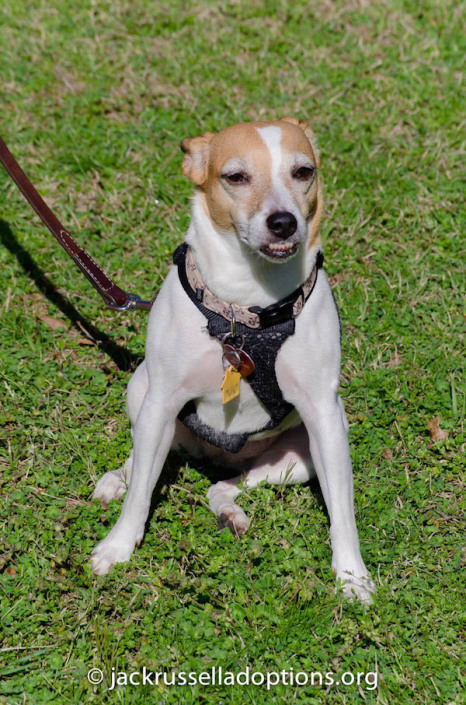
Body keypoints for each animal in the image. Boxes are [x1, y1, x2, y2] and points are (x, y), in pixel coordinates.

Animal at [90, 118, 374, 604]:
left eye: (303, 171)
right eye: (236, 177)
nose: (283, 222)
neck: (248, 306)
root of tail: (217, 455)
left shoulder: (325, 417)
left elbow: (343, 510)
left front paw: (352, 577)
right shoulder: (162, 402)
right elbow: (141, 493)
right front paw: (117, 546)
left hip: (296, 459)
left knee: (222, 487)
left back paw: (230, 512)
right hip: (143, 391)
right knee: (143, 459)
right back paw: (117, 478)